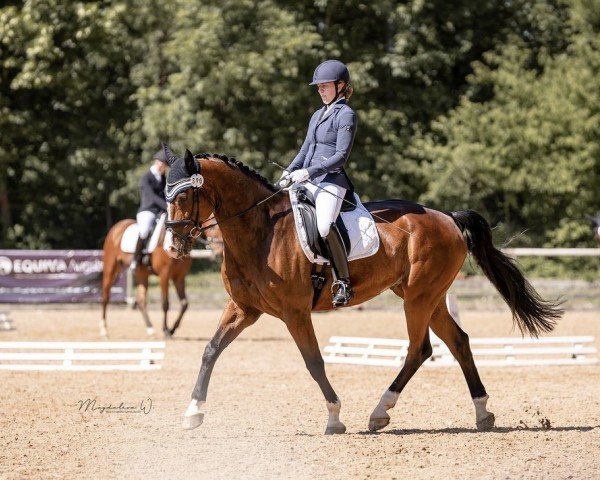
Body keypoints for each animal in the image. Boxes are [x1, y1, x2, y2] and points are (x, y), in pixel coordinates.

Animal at [163, 144, 564, 434]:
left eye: (182, 198)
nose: (173, 247)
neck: (261, 233)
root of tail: (447, 217)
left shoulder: (294, 313)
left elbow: (314, 362)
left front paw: (334, 418)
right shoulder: (243, 309)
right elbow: (210, 351)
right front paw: (192, 412)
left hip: (419, 297)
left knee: (419, 349)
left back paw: (379, 412)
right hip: (426, 296)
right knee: (458, 341)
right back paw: (482, 413)